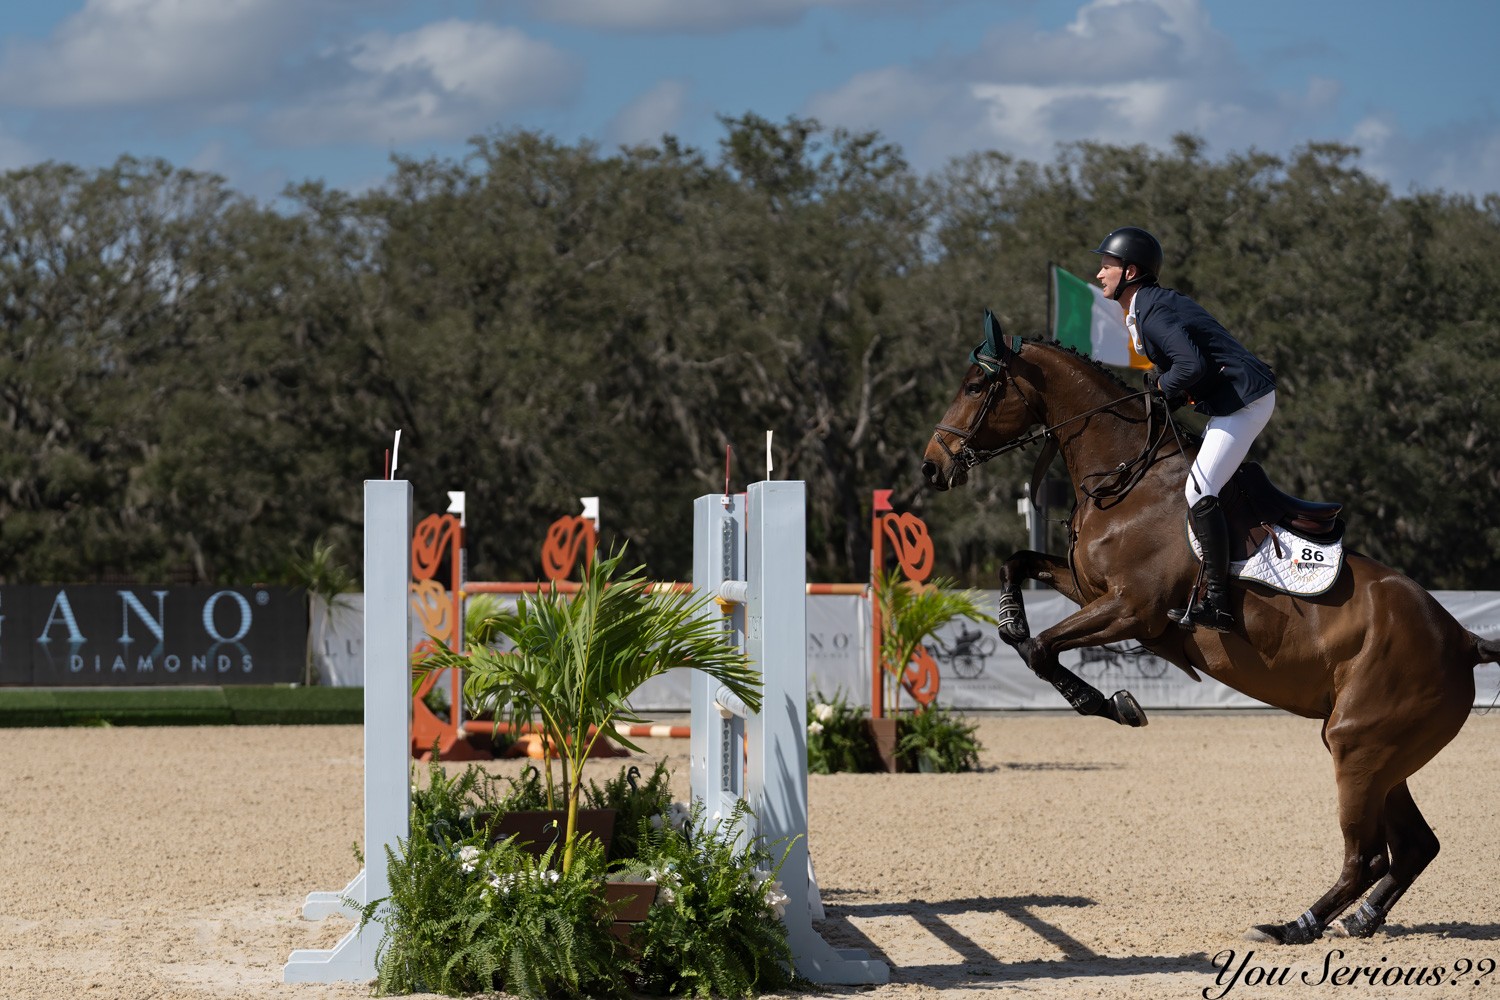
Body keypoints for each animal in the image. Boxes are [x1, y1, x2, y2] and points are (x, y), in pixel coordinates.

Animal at [920, 312, 1500, 945]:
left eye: (976, 386)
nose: (931, 465)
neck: (1128, 479)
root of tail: (1463, 640)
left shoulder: (1132, 608)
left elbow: (1043, 651)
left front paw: (1114, 704)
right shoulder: (1091, 591)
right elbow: (1016, 573)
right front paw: (1011, 623)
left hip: (1359, 748)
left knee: (1368, 856)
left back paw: (1293, 926)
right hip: (1383, 754)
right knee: (1415, 845)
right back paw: (1361, 919)